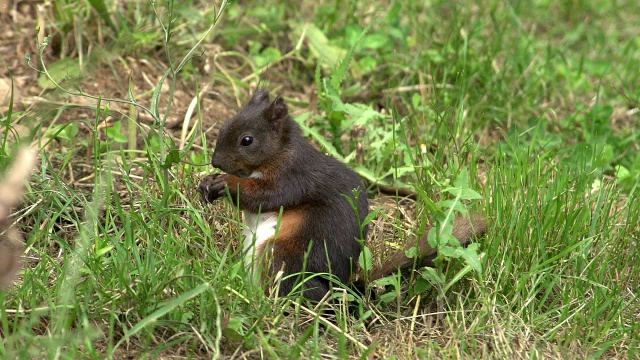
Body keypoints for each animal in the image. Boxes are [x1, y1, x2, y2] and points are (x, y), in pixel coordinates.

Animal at [198, 88, 488, 302]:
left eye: (247, 140)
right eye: (224, 127)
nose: (215, 162)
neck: (280, 153)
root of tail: (342, 291)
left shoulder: (293, 178)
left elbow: (265, 197)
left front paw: (226, 183)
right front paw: (207, 182)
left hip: (284, 256)